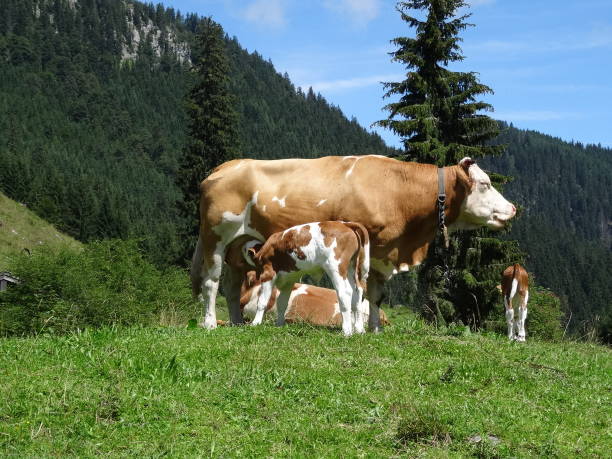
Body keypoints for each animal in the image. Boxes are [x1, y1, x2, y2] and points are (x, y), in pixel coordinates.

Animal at [192, 155, 516, 330]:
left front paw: (373, 328)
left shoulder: (383, 251)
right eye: (485, 184)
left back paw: (235, 322)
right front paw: (359, 326)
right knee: (211, 282)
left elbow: (375, 295)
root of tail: (227, 166)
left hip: (238, 244)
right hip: (215, 238)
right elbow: (357, 292)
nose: (513, 209)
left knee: (232, 286)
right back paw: (209, 322)